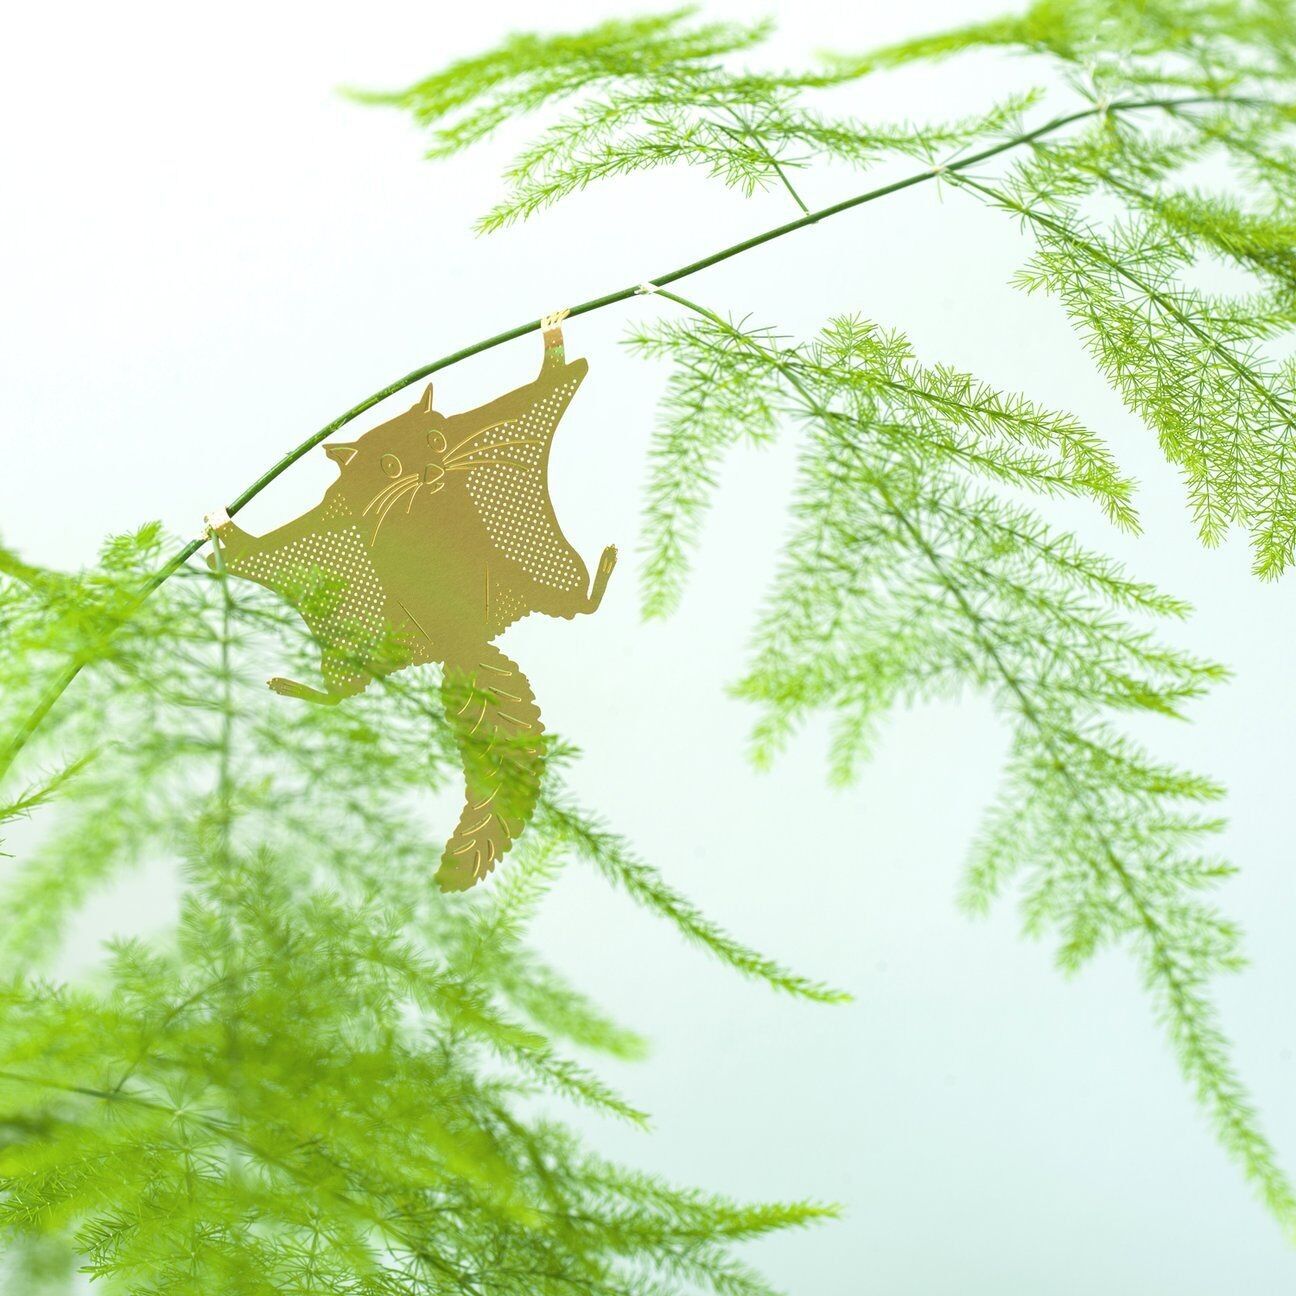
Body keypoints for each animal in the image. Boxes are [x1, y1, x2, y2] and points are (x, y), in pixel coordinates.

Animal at [205, 311, 616, 891]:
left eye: (438, 438)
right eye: (390, 467)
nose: (433, 471)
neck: (421, 508)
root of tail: (462, 644)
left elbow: (543, 388)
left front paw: (552, 339)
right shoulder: (332, 520)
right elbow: (250, 552)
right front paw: (220, 526)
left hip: (532, 574)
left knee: (580, 606)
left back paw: (603, 567)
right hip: (378, 649)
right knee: (343, 696)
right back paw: (291, 686)